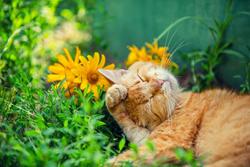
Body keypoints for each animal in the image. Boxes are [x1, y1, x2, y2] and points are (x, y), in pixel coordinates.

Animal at [99, 62, 250, 166]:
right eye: (150, 100)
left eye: (141, 78)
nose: (159, 83)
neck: (180, 101)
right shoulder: (161, 142)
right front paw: (113, 97)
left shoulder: (161, 143)